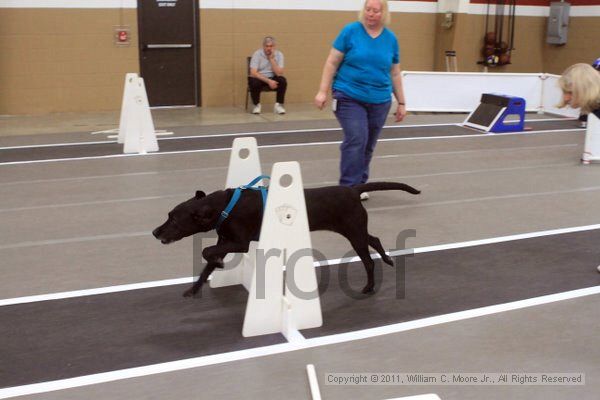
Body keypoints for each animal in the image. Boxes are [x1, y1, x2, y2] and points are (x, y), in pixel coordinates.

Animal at [152, 183, 420, 296]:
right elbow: (206, 265)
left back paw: (369, 286)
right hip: (354, 230)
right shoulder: (225, 241)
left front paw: (217, 264)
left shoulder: (240, 242)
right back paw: (388, 260)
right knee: (374, 239)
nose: (155, 232)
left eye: (174, 220)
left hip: (353, 232)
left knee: (369, 260)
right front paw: (193, 289)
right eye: (169, 215)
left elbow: (206, 251)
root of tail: (353, 190)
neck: (224, 207)